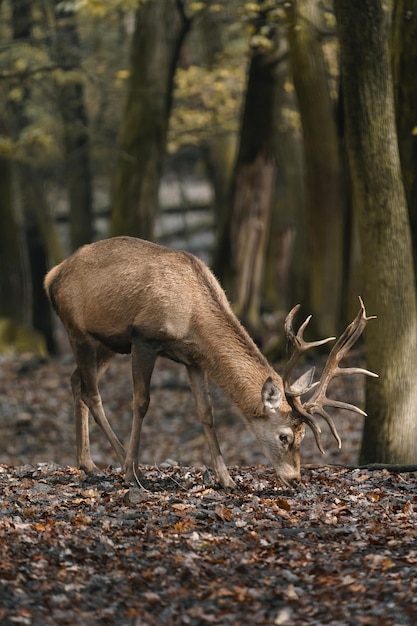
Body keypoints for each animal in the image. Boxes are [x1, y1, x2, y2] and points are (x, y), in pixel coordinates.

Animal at [44, 234, 376, 488]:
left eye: (304, 436)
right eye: (284, 436)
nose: (295, 479)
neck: (193, 318)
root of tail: (52, 276)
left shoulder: (194, 360)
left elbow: (206, 412)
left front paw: (226, 479)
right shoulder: (144, 338)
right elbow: (141, 403)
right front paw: (131, 472)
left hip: (109, 344)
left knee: (76, 381)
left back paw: (88, 463)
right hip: (78, 330)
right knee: (92, 392)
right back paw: (121, 461)